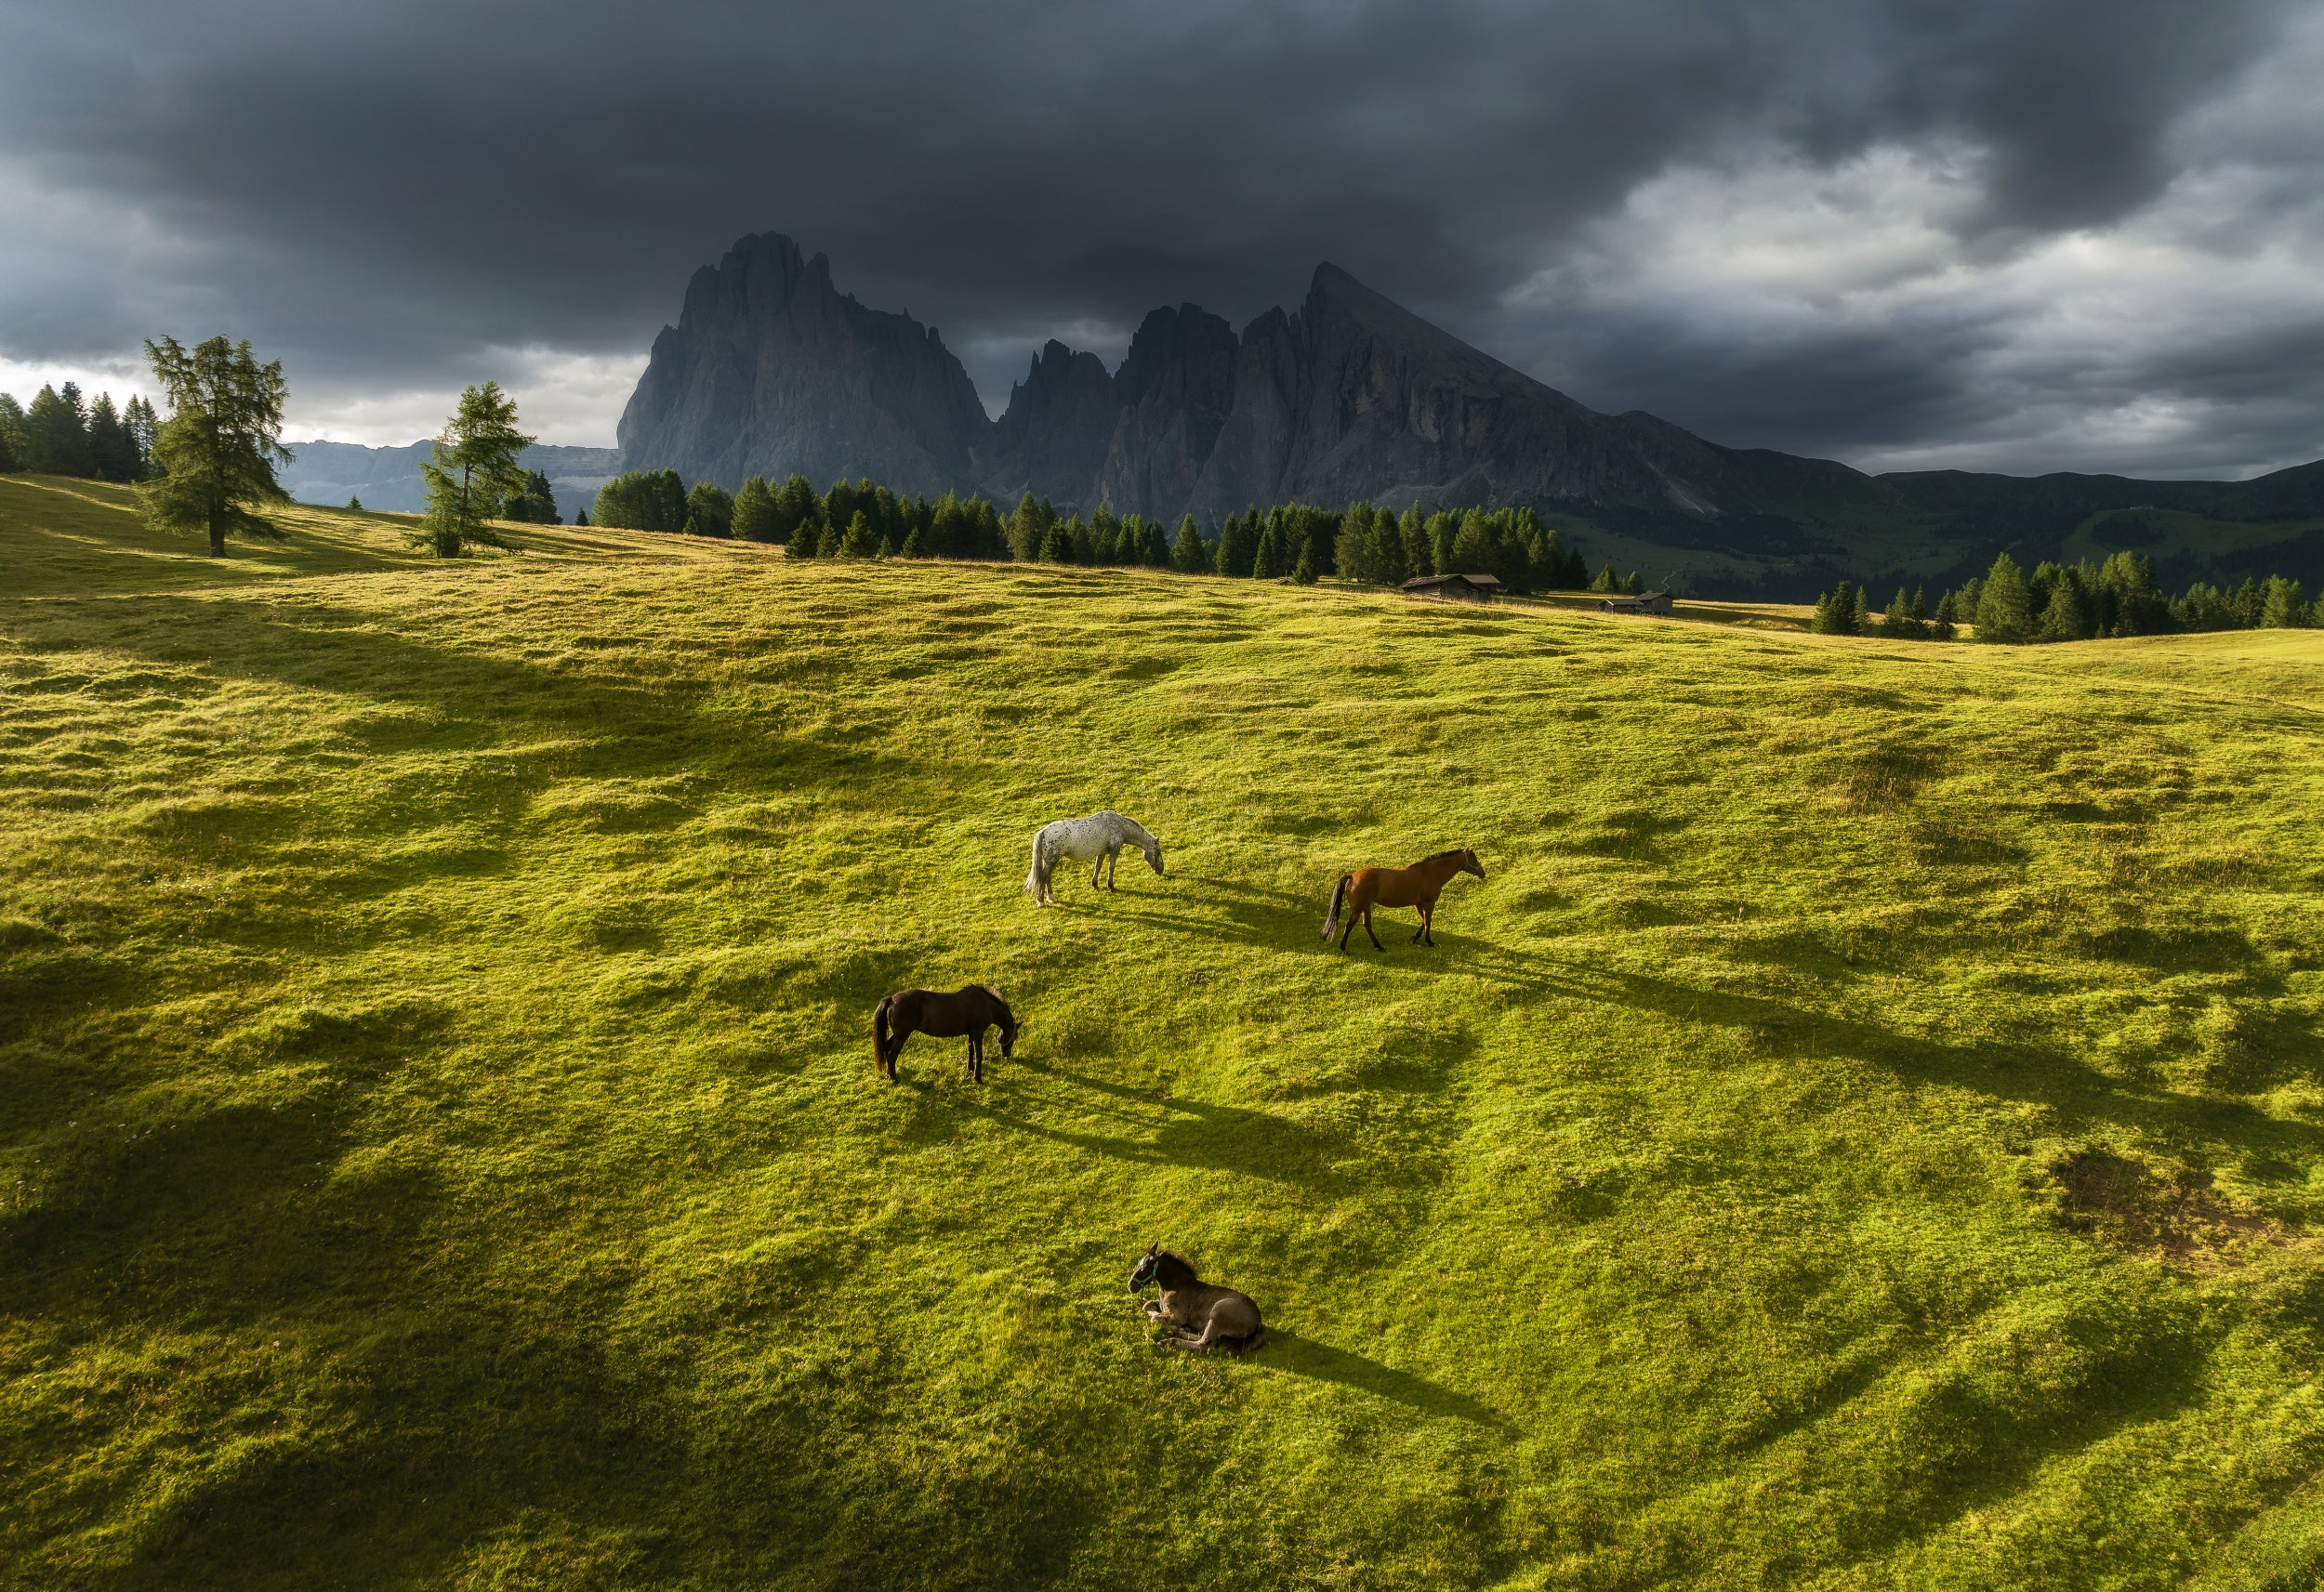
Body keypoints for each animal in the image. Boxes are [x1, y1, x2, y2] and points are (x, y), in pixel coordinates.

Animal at [874, 980, 1018, 1078]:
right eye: (1015, 1037)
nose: (1007, 1054)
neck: (985, 1004)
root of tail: (892, 999)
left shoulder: (971, 1033)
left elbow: (971, 1050)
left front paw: (970, 1069)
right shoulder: (978, 1032)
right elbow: (978, 1054)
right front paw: (977, 1077)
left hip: (898, 1034)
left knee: (886, 1048)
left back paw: (889, 1074)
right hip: (902, 1036)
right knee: (892, 1054)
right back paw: (894, 1078)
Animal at [1129, 1245, 1274, 1348]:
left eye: (1143, 1269)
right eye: (1137, 1264)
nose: (1130, 1286)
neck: (1174, 1285)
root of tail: (1259, 1320)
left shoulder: (1177, 1316)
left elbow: (1155, 1319)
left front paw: (1172, 1325)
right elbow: (1146, 1306)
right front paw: (1177, 1326)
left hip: (1218, 1312)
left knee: (1204, 1344)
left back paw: (1169, 1340)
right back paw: (1179, 1332)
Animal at [1329, 850, 1487, 948]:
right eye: (1474, 858)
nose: (1483, 872)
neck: (1431, 872)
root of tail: (1352, 876)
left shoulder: (1419, 904)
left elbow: (1423, 921)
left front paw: (1415, 938)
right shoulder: (1429, 903)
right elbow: (1428, 921)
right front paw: (1429, 941)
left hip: (1365, 907)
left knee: (1366, 925)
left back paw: (1379, 946)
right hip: (1358, 908)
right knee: (1349, 925)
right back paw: (1344, 948)